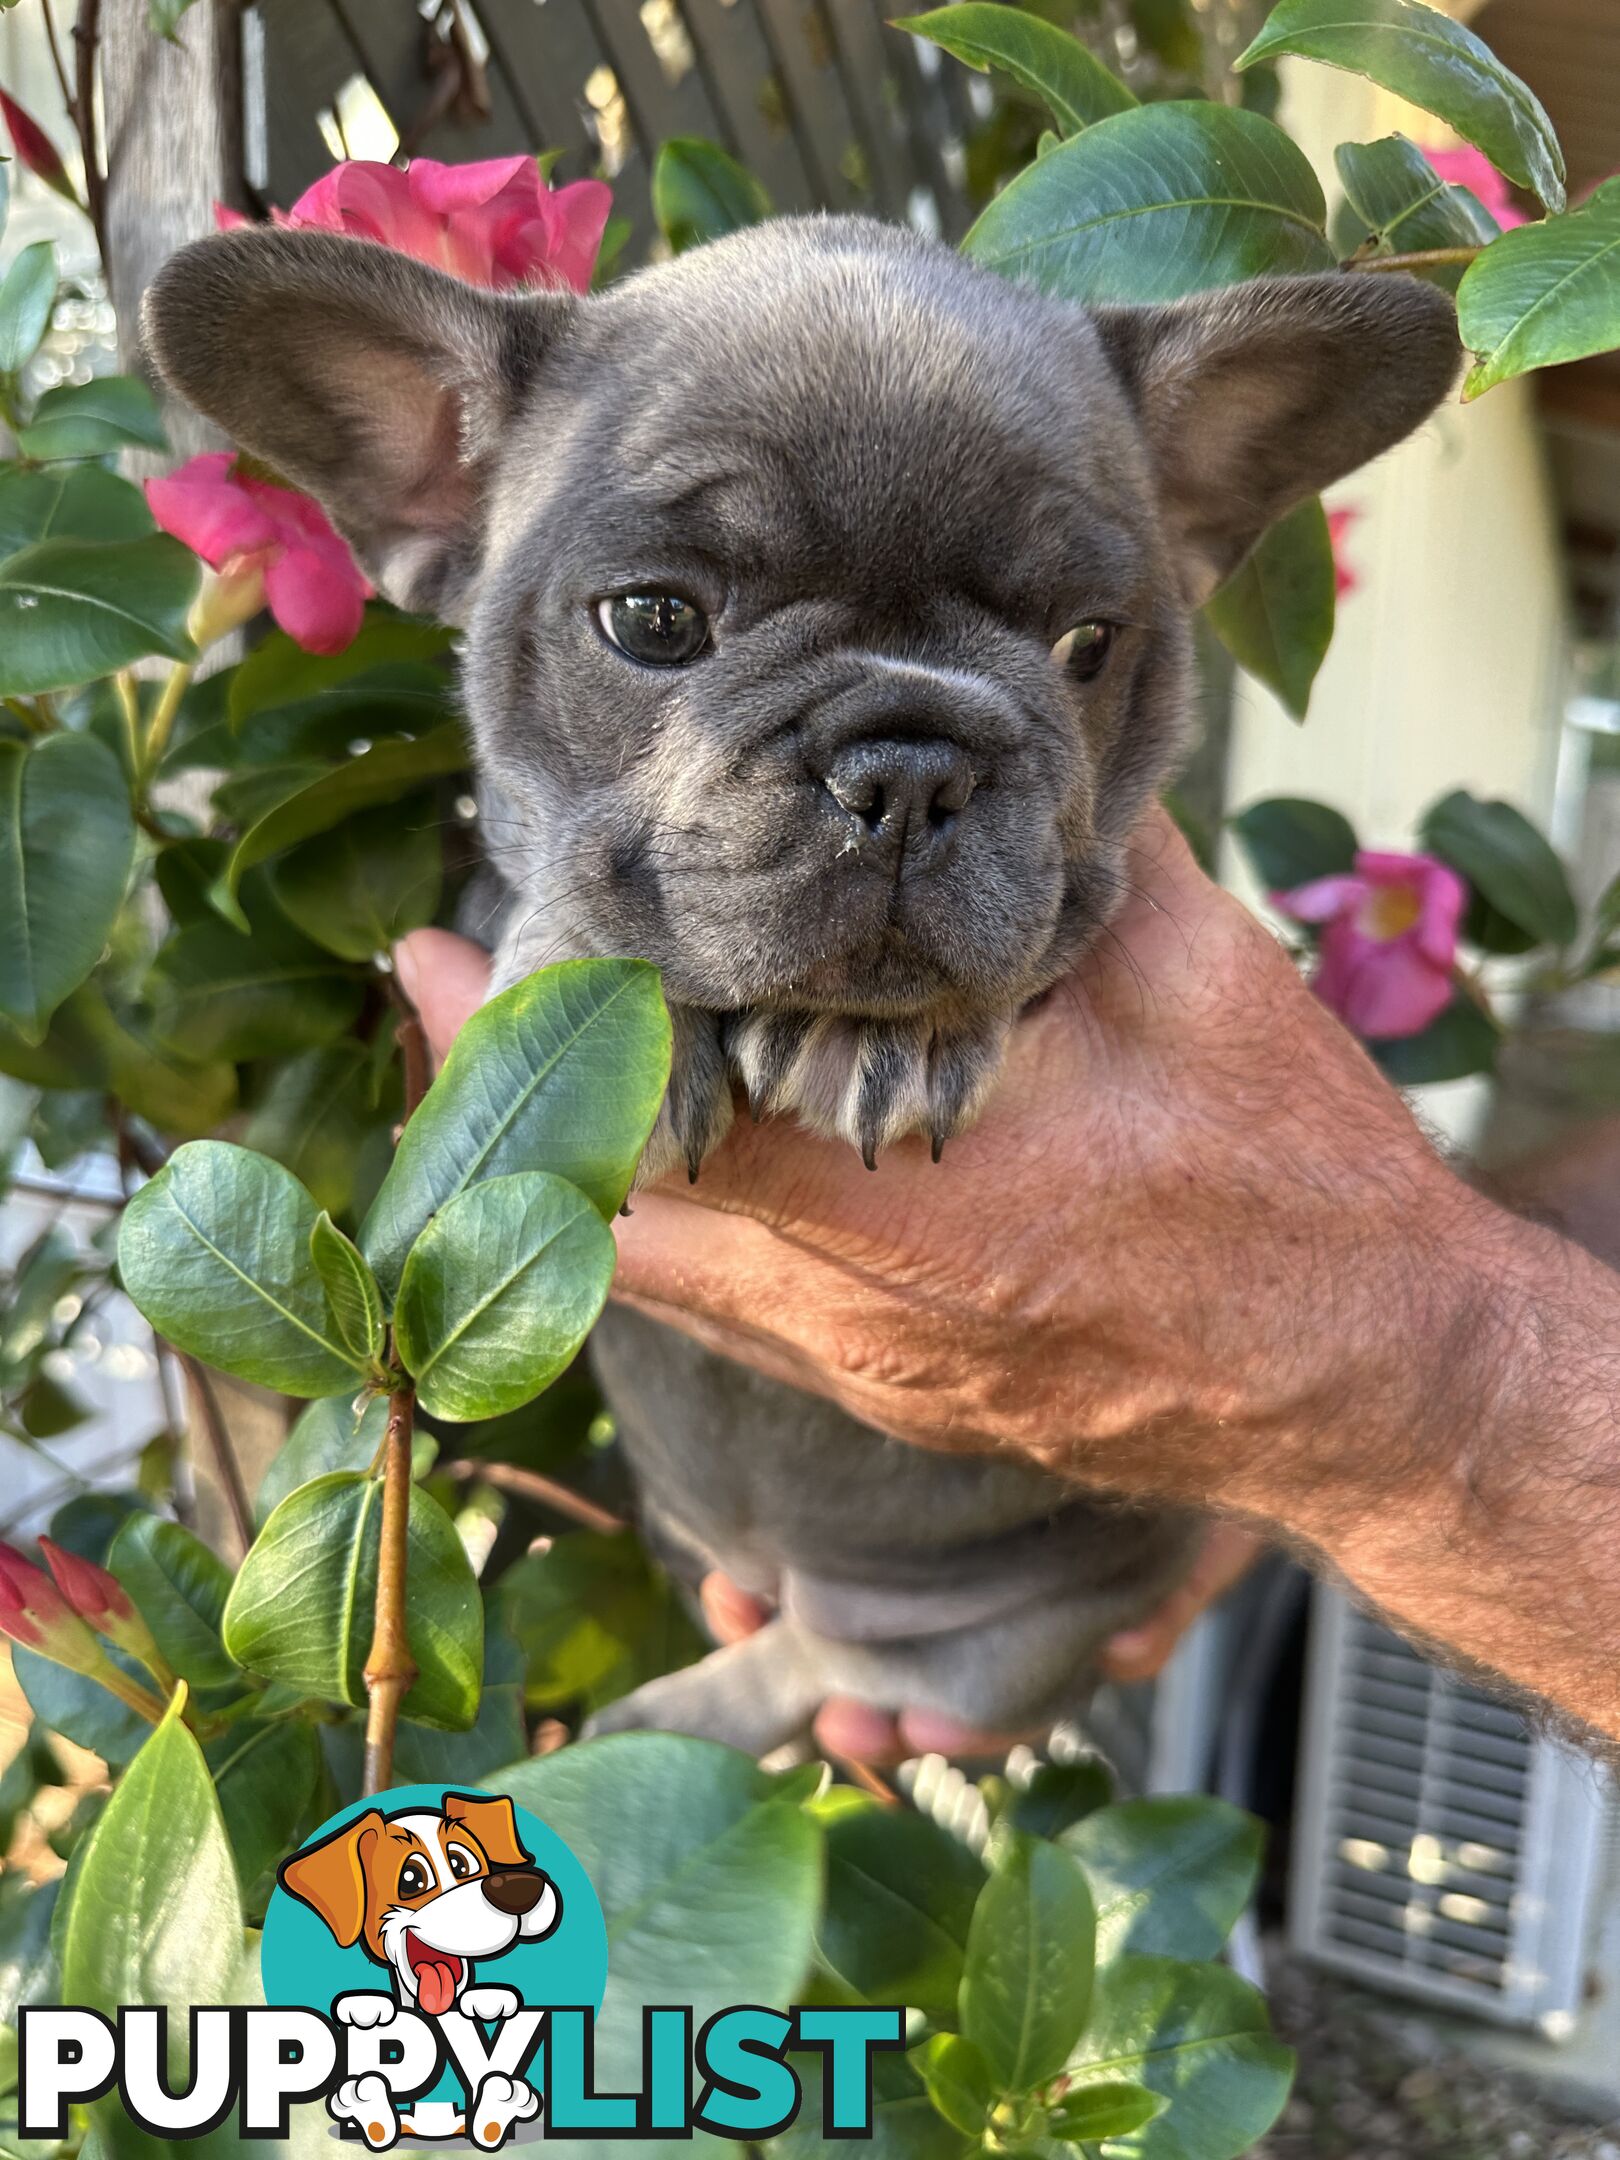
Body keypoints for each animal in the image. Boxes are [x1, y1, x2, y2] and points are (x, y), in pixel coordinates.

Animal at [142, 210, 1460, 1753]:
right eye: (653, 622)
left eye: (1087, 645)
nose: (909, 765)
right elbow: (565, 888)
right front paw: (603, 1000)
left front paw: (892, 1037)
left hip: (1004, 1640)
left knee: (836, 1666)